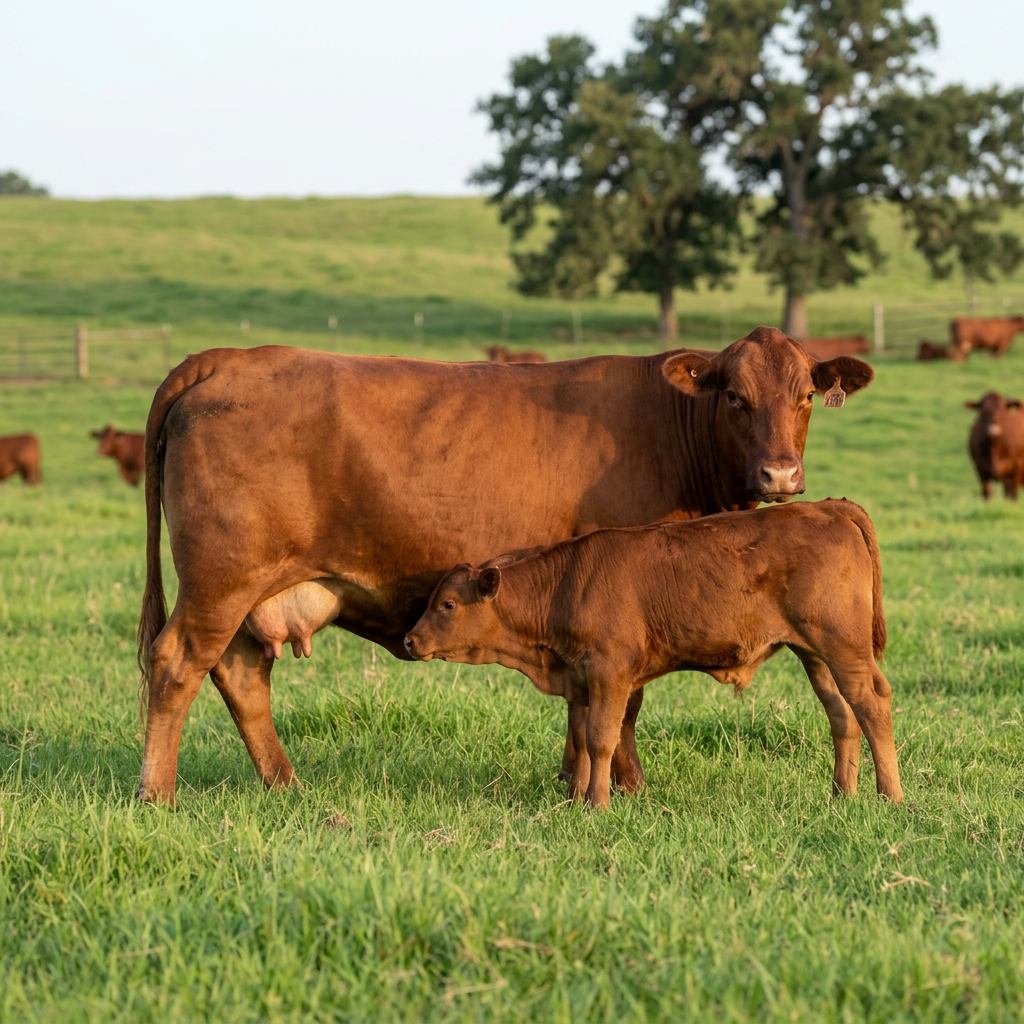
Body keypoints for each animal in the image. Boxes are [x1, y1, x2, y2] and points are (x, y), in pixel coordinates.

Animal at [404, 499, 903, 810]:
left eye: (447, 604)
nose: (409, 641)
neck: (567, 583)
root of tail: (825, 506)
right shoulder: (581, 679)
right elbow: (581, 738)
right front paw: (575, 799)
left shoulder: (610, 674)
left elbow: (602, 738)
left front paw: (598, 804)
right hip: (814, 654)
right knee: (842, 714)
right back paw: (841, 794)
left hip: (844, 647)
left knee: (872, 703)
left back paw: (890, 797)